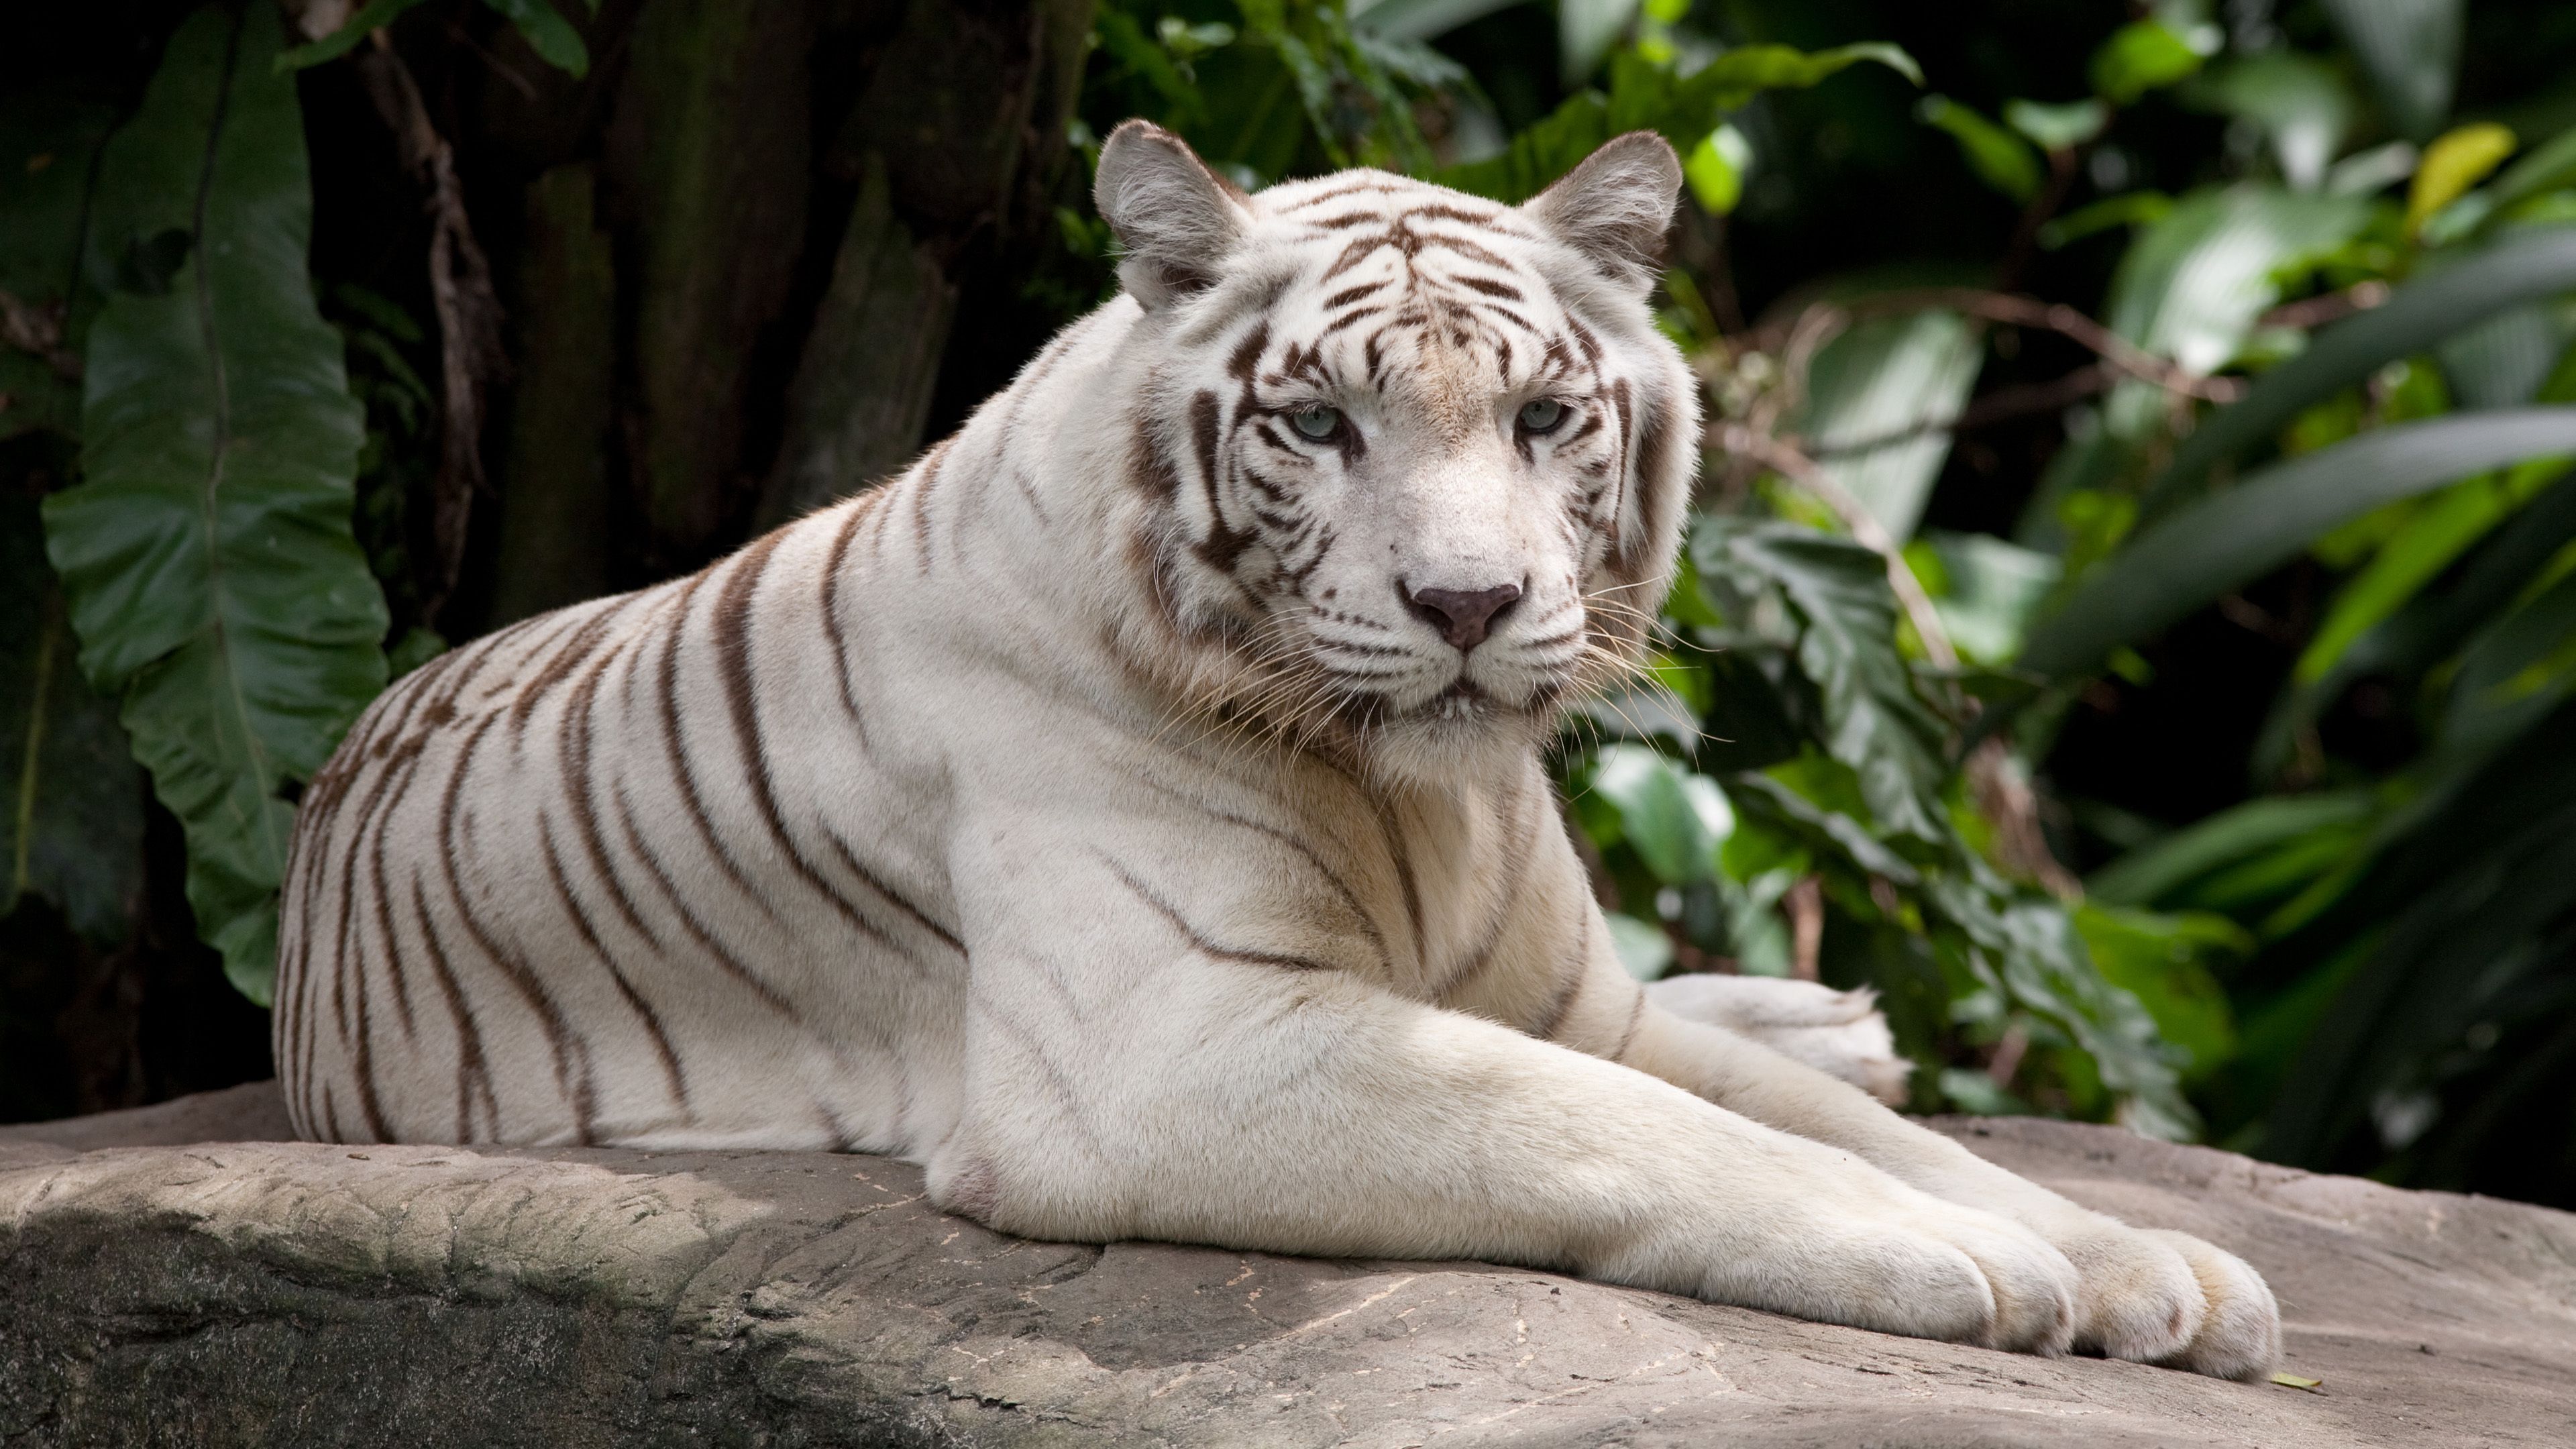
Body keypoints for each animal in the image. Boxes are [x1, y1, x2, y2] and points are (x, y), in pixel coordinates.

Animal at [276, 118, 2277, 1371]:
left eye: (1543, 416)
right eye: (1317, 424)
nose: (1469, 604)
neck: (1430, 801)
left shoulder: (1571, 1001)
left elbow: (1831, 1120)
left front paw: (2150, 1262)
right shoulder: (1168, 1047)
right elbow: (1622, 1132)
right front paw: (1985, 1263)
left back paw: (1843, 1023)